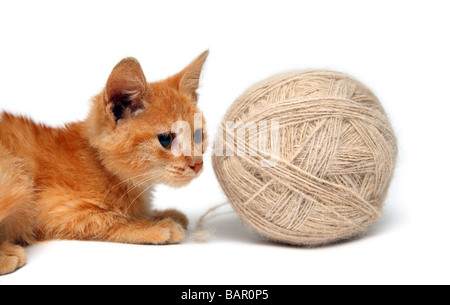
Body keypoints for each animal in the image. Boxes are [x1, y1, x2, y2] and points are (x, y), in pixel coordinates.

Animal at [0, 50, 208, 276]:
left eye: (197, 135)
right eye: (166, 139)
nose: (197, 164)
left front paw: (158, 214)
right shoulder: (52, 209)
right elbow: (107, 219)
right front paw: (150, 225)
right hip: (16, 181)